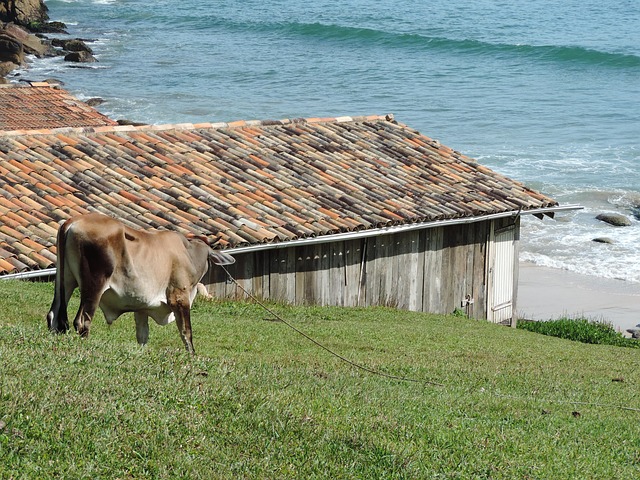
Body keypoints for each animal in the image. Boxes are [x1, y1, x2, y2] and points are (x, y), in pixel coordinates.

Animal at [45, 213, 235, 352]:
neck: (188, 254)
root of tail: (73, 222)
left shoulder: (142, 307)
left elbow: (142, 335)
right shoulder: (179, 298)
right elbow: (186, 332)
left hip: (65, 281)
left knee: (54, 316)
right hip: (94, 285)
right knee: (83, 320)